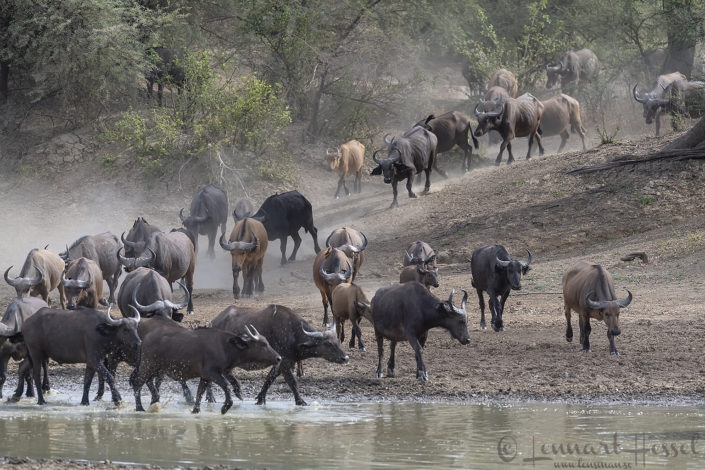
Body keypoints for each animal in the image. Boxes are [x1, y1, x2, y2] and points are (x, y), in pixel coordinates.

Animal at [210, 304, 349, 406]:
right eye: (328, 344)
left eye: (338, 341)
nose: (345, 358)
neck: (293, 334)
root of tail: (213, 322)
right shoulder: (285, 362)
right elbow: (292, 381)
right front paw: (300, 401)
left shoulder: (282, 361)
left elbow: (270, 378)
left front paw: (260, 398)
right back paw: (215, 397)